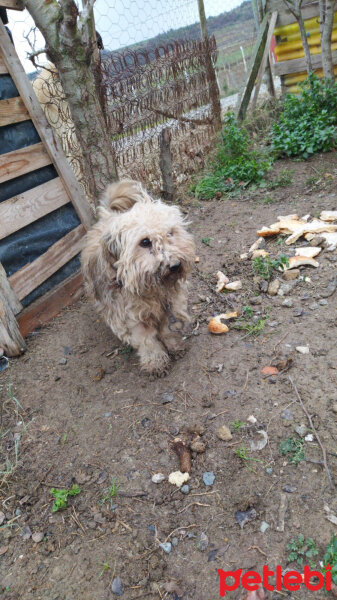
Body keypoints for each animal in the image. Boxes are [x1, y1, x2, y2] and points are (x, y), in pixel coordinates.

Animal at [80, 179, 194, 376]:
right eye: (145, 242)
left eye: (170, 233)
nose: (175, 265)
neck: (152, 291)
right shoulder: (133, 319)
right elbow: (148, 342)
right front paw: (156, 362)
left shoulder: (169, 307)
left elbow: (167, 330)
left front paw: (174, 345)